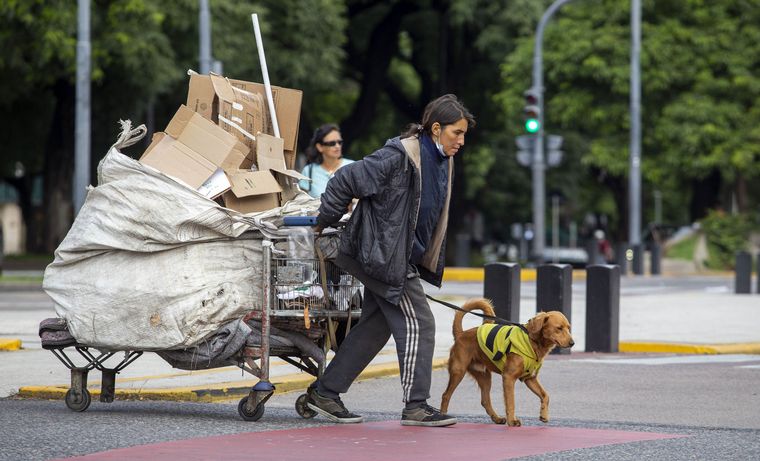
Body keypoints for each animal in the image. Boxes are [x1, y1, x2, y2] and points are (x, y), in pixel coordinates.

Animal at [442, 298, 572, 424]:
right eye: (559, 328)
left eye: (568, 328)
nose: (572, 343)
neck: (532, 341)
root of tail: (461, 334)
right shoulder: (508, 377)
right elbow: (511, 402)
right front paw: (512, 421)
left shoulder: (530, 378)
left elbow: (545, 395)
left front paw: (543, 415)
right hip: (458, 372)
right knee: (446, 395)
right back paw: (443, 416)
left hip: (485, 377)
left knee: (485, 400)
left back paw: (497, 419)